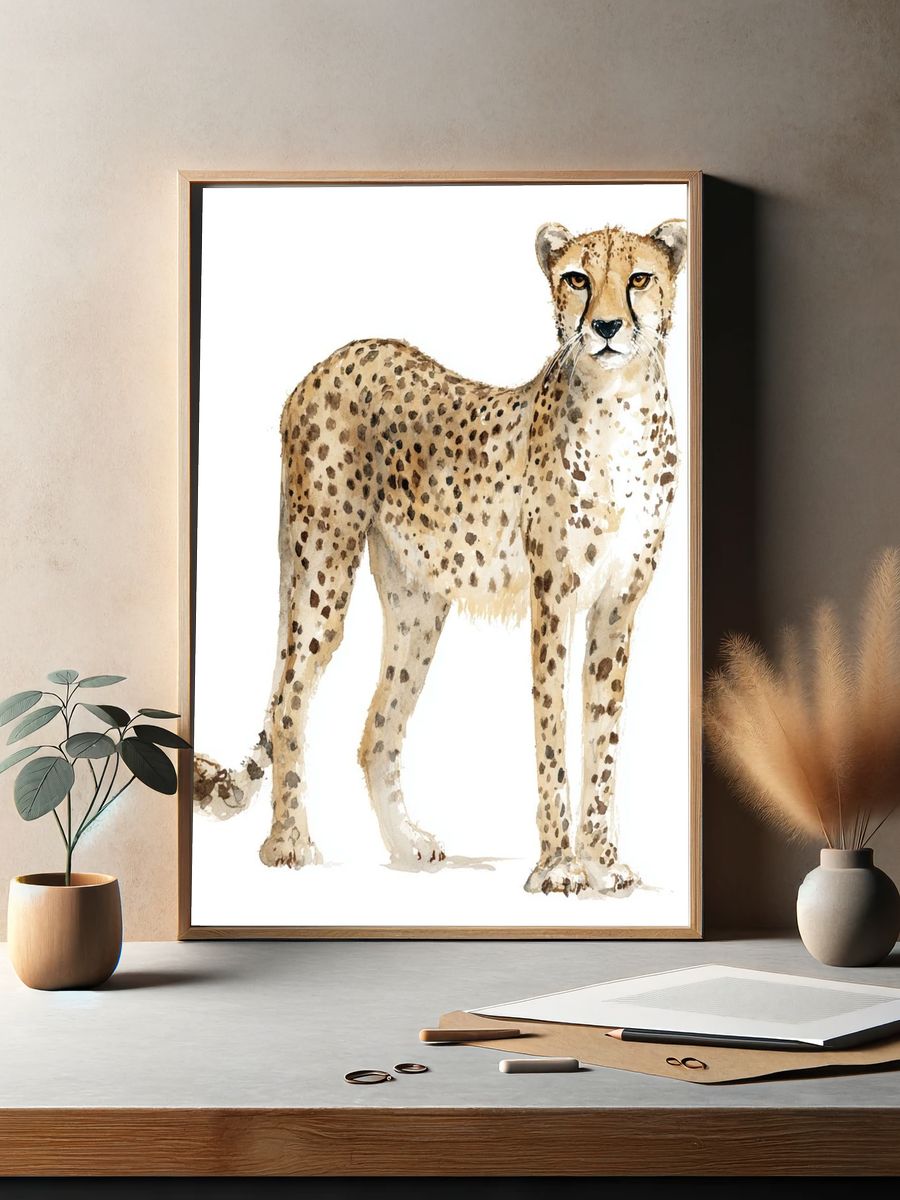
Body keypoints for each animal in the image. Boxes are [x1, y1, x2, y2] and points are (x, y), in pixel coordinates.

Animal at [194, 217, 687, 896]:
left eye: (639, 278)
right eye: (576, 280)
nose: (608, 327)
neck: (620, 408)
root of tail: (338, 356)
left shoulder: (617, 606)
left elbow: (604, 738)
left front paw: (604, 863)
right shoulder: (554, 601)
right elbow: (554, 735)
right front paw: (559, 868)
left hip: (417, 605)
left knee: (377, 730)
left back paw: (406, 844)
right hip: (322, 572)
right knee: (290, 700)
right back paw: (289, 842)